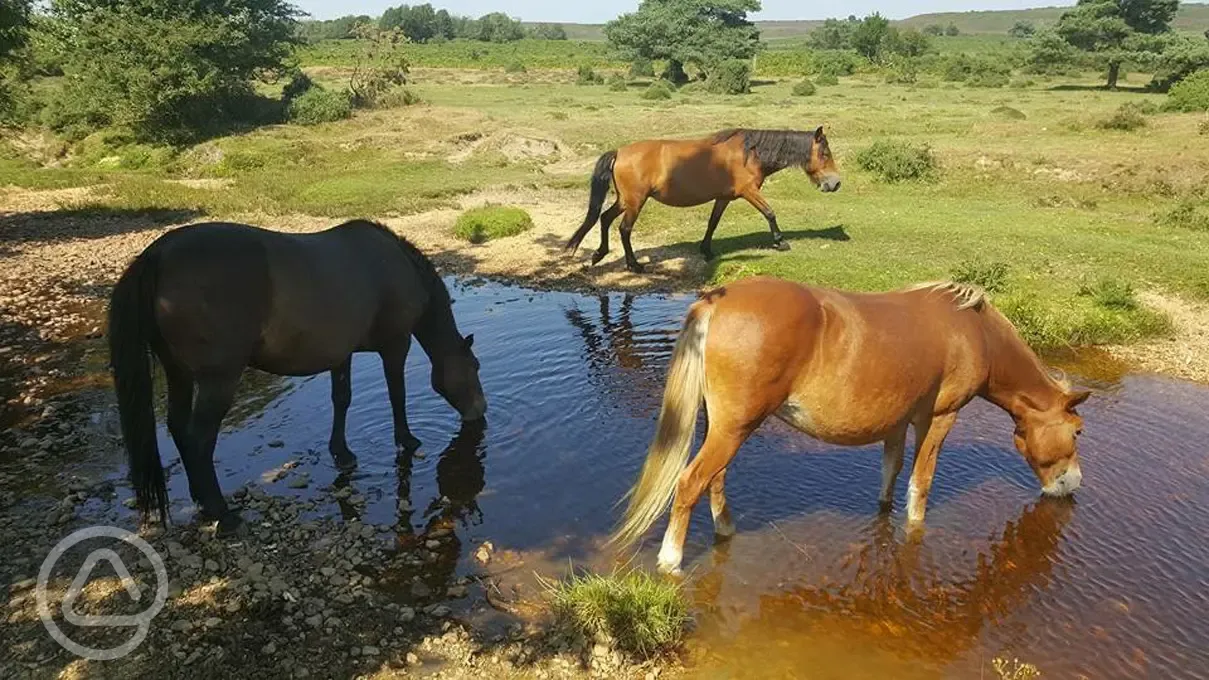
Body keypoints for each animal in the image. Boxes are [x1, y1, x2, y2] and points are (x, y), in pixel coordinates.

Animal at [107, 219, 487, 536]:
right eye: (475, 366)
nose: (479, 411)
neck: (393, 267)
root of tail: (158, 254)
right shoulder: (396, 344)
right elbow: (398, 394)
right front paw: (407, 440)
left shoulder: (341, 354)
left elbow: (342, 400)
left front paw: (342, 453)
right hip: (218, 379)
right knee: (199, 439)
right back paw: (223, 515)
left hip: (179, 372)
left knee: (177, 426)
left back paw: (202, 502)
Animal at [565, 126, 842, 273]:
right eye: (825, 153)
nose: (835, 183)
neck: (750, 154)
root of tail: (620, 152)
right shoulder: (749, 191)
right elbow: (769, 212)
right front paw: (780, 242)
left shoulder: (723, 198)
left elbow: (712, 223)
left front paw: (706, 250)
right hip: (635, 201)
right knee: (624, 228)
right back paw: (634, 265)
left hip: (625, 200)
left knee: (604, 218)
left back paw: (598, 255)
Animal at [609, 275, 1090, 575]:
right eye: (1077, 431)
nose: (1072, 484)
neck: (973, 331)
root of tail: (718, 298)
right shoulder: (938, 418)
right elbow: (921, 482)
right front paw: (915, 527)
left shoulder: (899, 421)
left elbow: (890, 472)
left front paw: (884, 511)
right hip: (734, 428)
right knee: (691, 481)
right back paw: (671, 559)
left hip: (724, 426)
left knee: (715, 479)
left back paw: (725, 530)